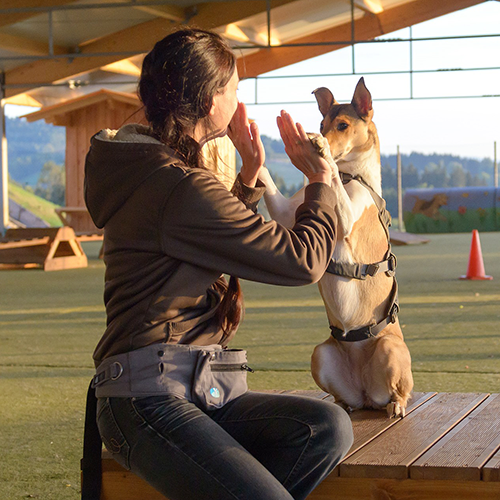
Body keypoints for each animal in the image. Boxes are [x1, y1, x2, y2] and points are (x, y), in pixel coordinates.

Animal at [260, 78, 412, 418]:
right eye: (322, 123)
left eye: (343, 125)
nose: (316, 135)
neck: (348, 176)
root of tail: (367, 392)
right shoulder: (286, 214)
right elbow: (267, 180)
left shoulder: (347, 216)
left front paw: (322, 150)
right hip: (320, 354)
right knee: (347, 398)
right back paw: (343, 405)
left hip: (389, 349)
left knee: (401, 392)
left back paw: (396, 405)